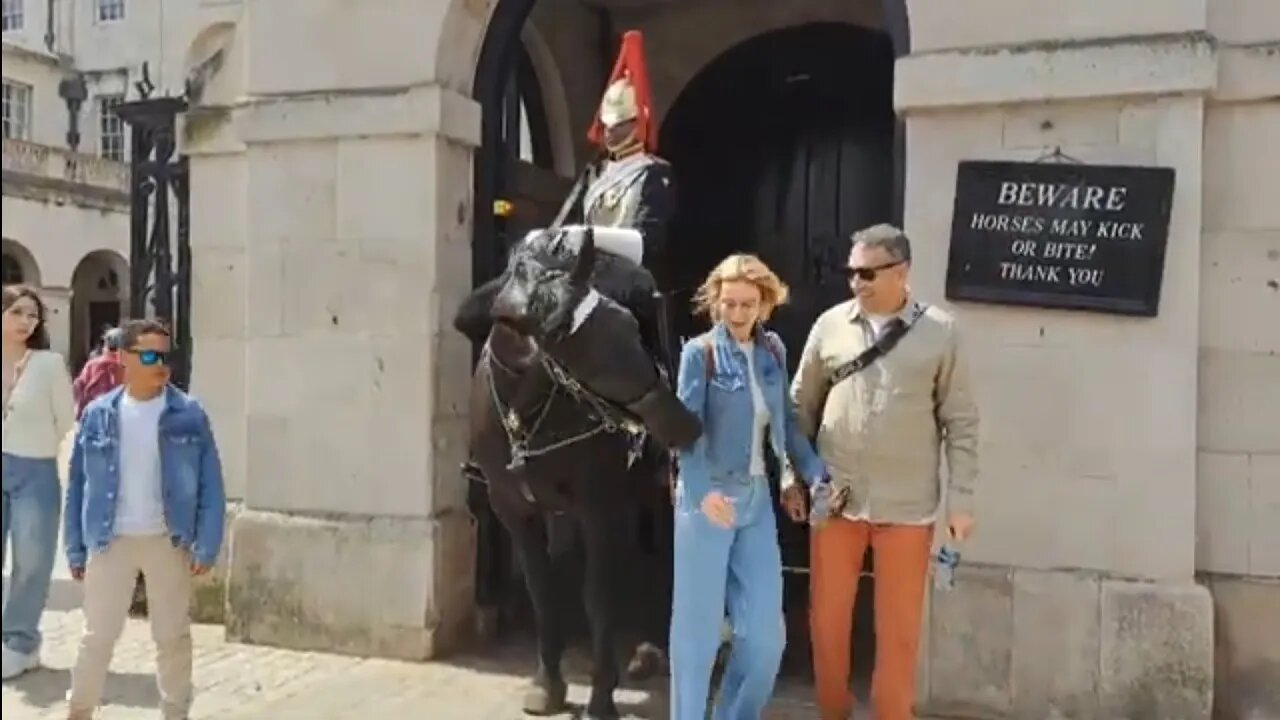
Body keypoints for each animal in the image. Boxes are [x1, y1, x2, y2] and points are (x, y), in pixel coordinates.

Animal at [458, 225, 706, 717]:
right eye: (570, 337)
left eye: (630, 326)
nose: (682, 423)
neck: (525, 408)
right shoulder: (515, 507)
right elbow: (542, 586)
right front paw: (547, 683)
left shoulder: (601, 506)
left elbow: (599, 595)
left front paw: (601, 695)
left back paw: (653, 648)